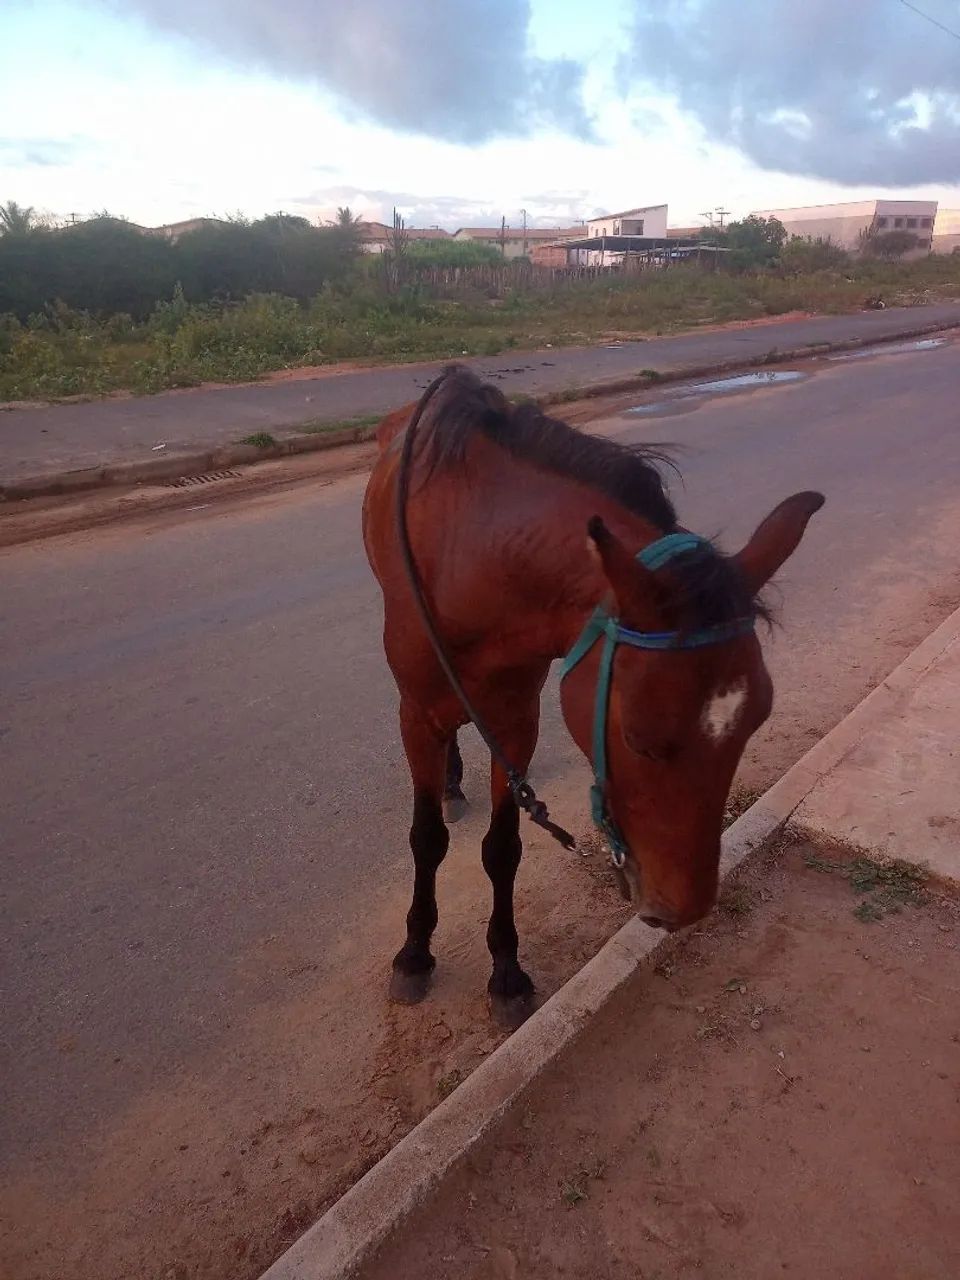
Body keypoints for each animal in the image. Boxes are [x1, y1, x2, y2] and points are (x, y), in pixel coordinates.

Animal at [362, 366, 823, 1021]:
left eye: (755, 722)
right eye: (639, 739)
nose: (684, 909)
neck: (473, 549)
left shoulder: (516, 716)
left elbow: (503, 847)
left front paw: (507, 971)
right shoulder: (417, 714)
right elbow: (426, 839)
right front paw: (414, 954)